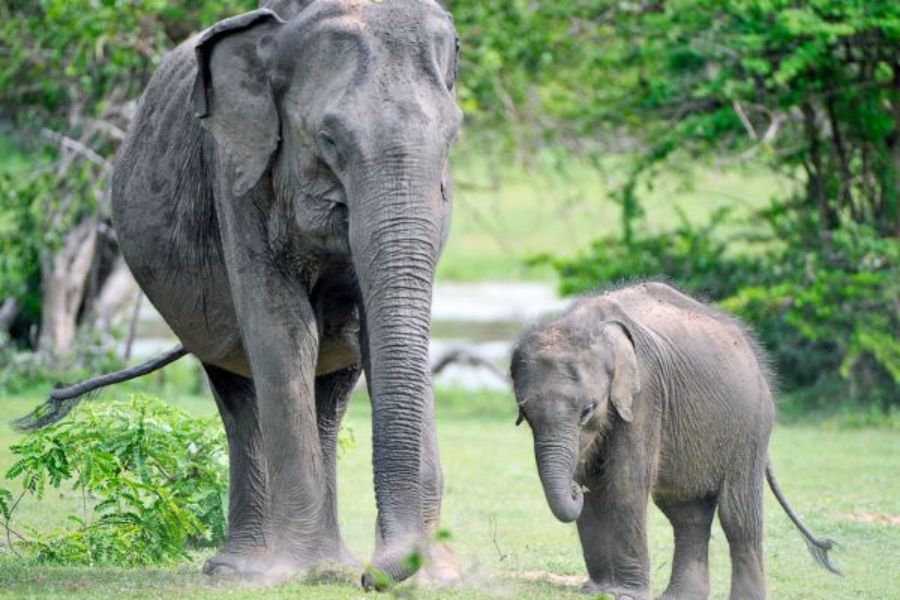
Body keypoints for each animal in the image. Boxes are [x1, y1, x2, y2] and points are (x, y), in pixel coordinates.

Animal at [23, 0, 461, 588]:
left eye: (453, 138)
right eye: (329, 140)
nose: (375, 578)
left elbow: (372, 331)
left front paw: (439, 577)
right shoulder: (235, 174)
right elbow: (284, 331)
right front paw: (292, 574)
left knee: (331, 389)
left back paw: (330, 565)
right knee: (239, 389)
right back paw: (248, 570)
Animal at [510, 282, 839, 600]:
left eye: (587, 410)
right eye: (524, 414)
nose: (573, 490)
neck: (587, 325)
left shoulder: (646, 394)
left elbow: (624, 482)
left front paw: (626, 594)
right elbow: (597, 487)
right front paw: (598, 589)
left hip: (750, 425)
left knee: (737, 515)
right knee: (686, 513)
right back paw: (681, 595)